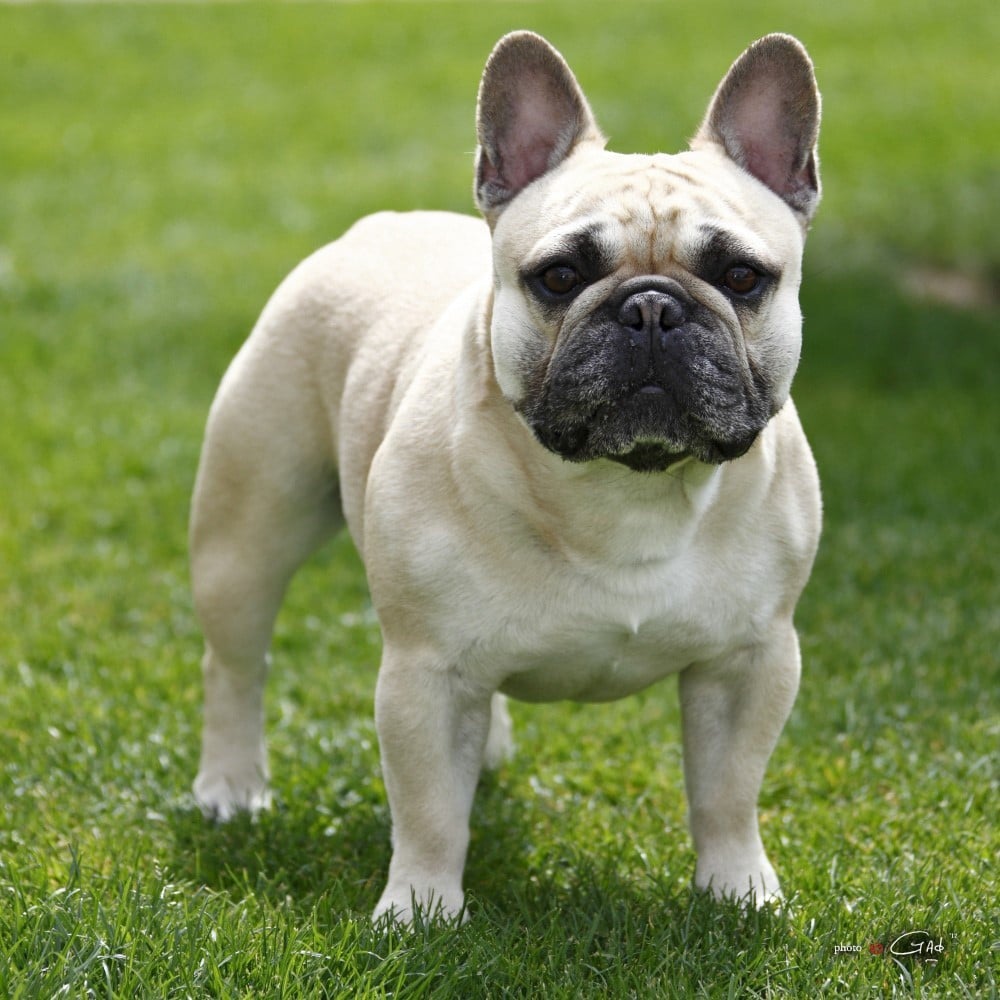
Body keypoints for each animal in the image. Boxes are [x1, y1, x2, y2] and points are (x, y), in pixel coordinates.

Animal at [188, 31, 820, 920]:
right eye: (559, 277)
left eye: (741, 278)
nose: (652, 307)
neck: (626, 486)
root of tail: (379, 225)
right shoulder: (427, 672)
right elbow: (427, 809)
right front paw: (420, 911)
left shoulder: (750, 661)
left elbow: (728, 792)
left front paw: (738, 892)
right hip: (248, 534)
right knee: (236, 665)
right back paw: (232, 786)